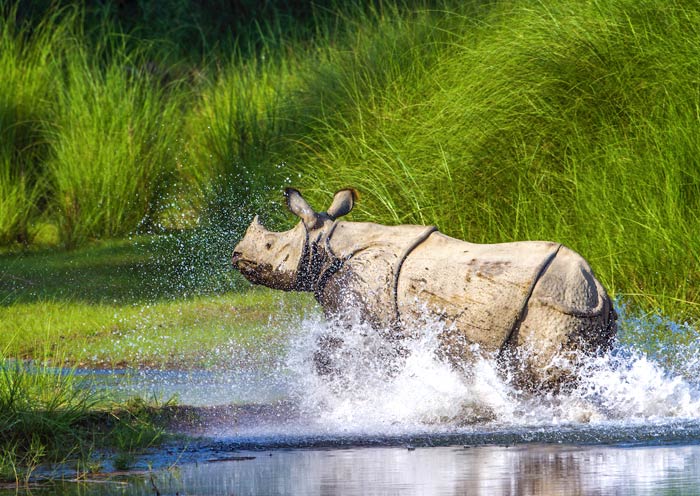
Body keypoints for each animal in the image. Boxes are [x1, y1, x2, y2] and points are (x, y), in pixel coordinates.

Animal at [232, 188, 616, 390]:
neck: (328, 242)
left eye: (269, 247)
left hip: (557, 304)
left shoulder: (366, 309)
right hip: (586, 307)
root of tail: (595, 285)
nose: (236, 255)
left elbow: (336, 355)